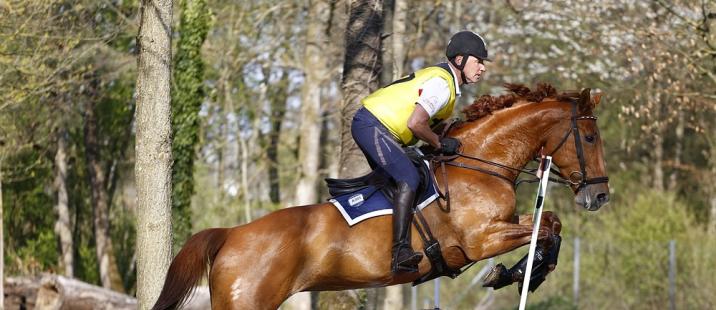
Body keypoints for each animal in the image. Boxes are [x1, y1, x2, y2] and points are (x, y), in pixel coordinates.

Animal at [151, 83, 608, 310]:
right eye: (589, 137)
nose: (600, 196)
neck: (479, 164)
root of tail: (230, 234)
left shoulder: (499, 230)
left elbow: (552, 225)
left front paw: (521, 274)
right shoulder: (482, 239)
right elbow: (545, 228)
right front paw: (517, 273)